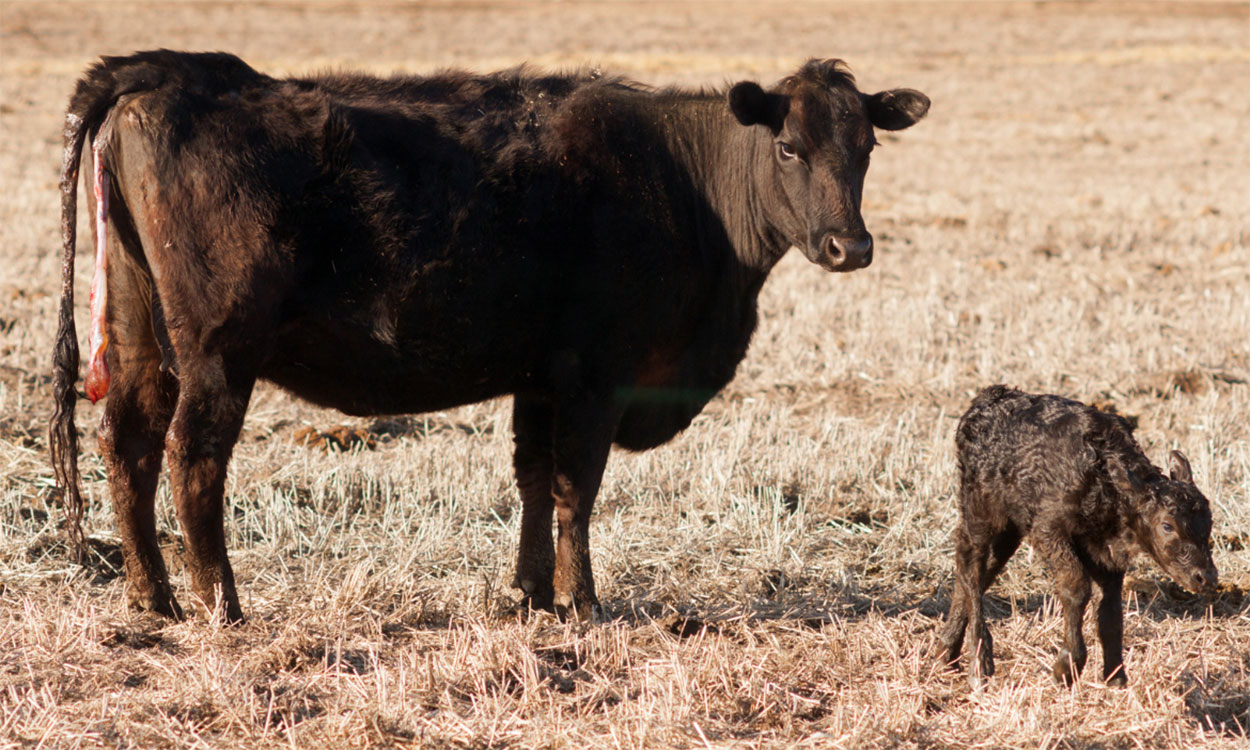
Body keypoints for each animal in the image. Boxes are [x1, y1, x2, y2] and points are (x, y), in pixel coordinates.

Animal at [51, 51, 930, 620]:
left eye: (867, 147)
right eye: (788, 146)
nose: (850, 246)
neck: (683, 183)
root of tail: (164, 73)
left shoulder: (539, 378)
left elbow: (535, 481)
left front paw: (532, 593)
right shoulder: (596, 377)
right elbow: (578, 487)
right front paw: (584, 601)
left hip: (140, 335)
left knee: (127, 443)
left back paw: (153, 598)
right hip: (216, 353)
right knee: (192, 461)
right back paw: (221, 604)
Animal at [940, 387, 1215, 685]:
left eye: (1209, 521)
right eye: (1167, 526)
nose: (1206, 577)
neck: (1104, 483)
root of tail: (988, 398)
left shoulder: (1108, 557)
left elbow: (1110, 613)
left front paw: (1116, 677)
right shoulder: (1048, 529)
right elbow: (1076, 586)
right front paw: (1067, 665)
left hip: (1009, 529)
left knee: (979, 573)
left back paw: (946, 652)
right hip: (980, 511)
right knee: (970, 565)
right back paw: (980, 662)